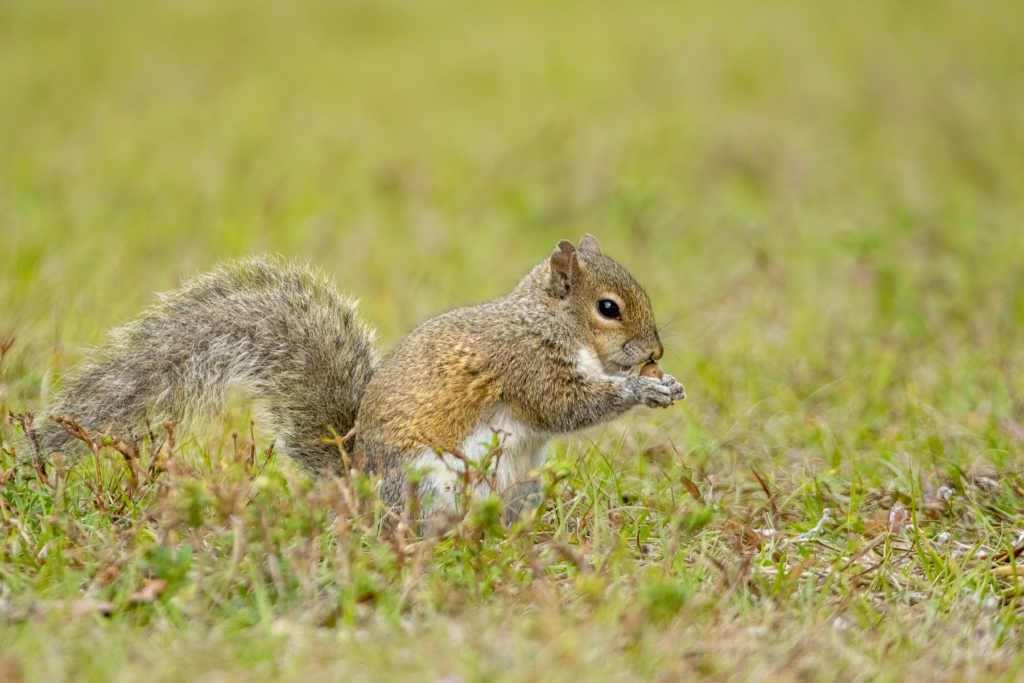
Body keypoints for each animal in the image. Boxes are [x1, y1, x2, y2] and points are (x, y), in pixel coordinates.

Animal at [32, 234, 685, 521]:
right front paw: (643, 388)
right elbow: (564, 407)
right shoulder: (525, 362)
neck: (548, 321)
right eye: (608, 308)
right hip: (432, 482)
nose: (656, 351)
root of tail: (361, 486)